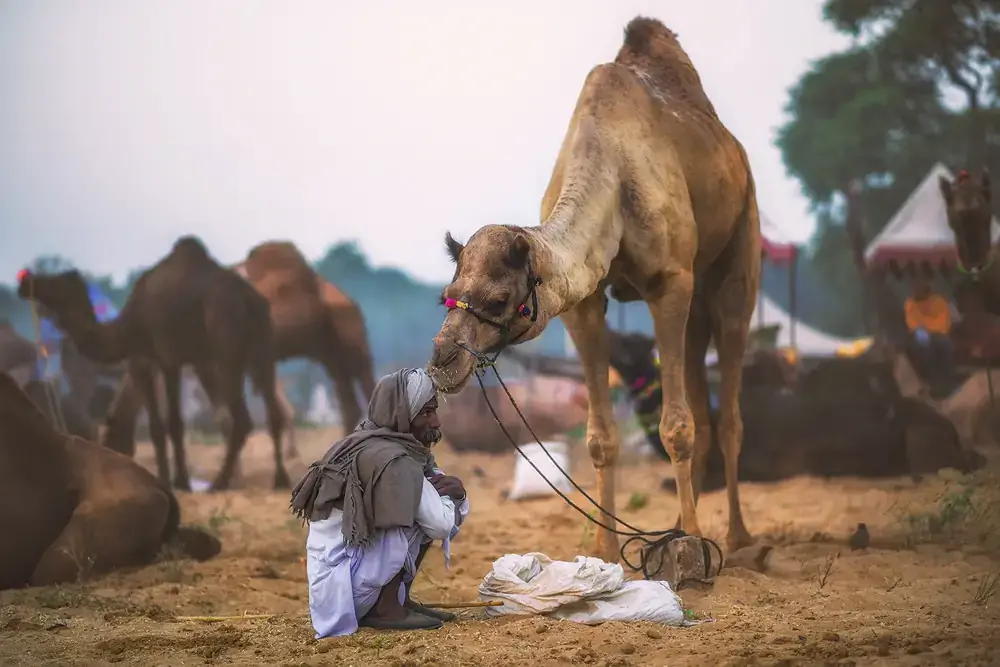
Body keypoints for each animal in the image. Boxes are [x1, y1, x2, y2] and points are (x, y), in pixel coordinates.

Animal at [16, 237, 290, 494]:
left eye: (54, 282)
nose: (24, 282)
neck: (127, 325)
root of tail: (249, 301)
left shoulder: (151, 360)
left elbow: (163, 426)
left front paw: (173, 482)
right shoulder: (184, 362)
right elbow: (173, 424)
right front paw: (178, 481)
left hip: (226, 353)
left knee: (242, 419)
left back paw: (219, 484)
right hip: (262, 350)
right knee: (273, 412)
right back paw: (280, 480)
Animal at [426, 14, 760, 564]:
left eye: (498, 299)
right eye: (447, 295)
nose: (441, 362)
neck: (612, 169)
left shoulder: (670, 282)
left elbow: (676, 426)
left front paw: (693, 547)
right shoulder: (580, 306)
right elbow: (602, 437)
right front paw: (605, 551)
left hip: (740, 249)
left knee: (729, 407)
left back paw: (735, 539)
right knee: (702, 389)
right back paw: (681, 528)